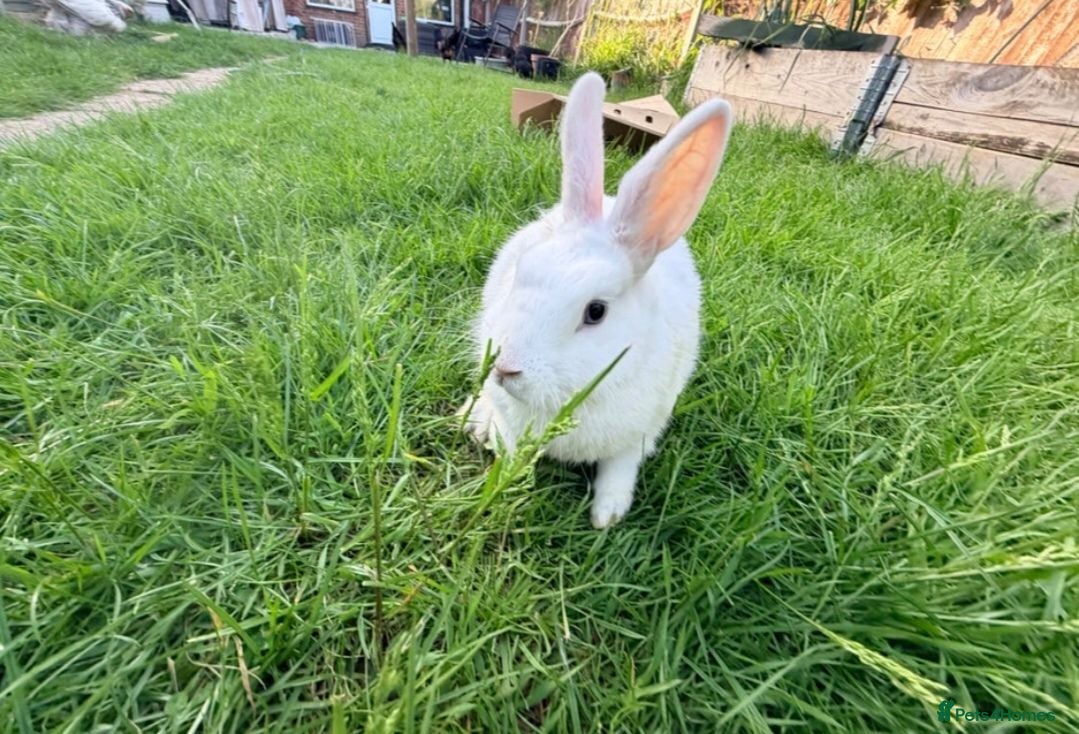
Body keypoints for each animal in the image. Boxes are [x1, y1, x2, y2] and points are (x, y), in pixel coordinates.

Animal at [459, 72, 733, 528]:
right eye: (522, 272)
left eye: (596, 312)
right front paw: (509, 486)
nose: (505, 368)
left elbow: (618, 472)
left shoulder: (638, 436)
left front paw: (607, 517)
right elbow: (512, 449)